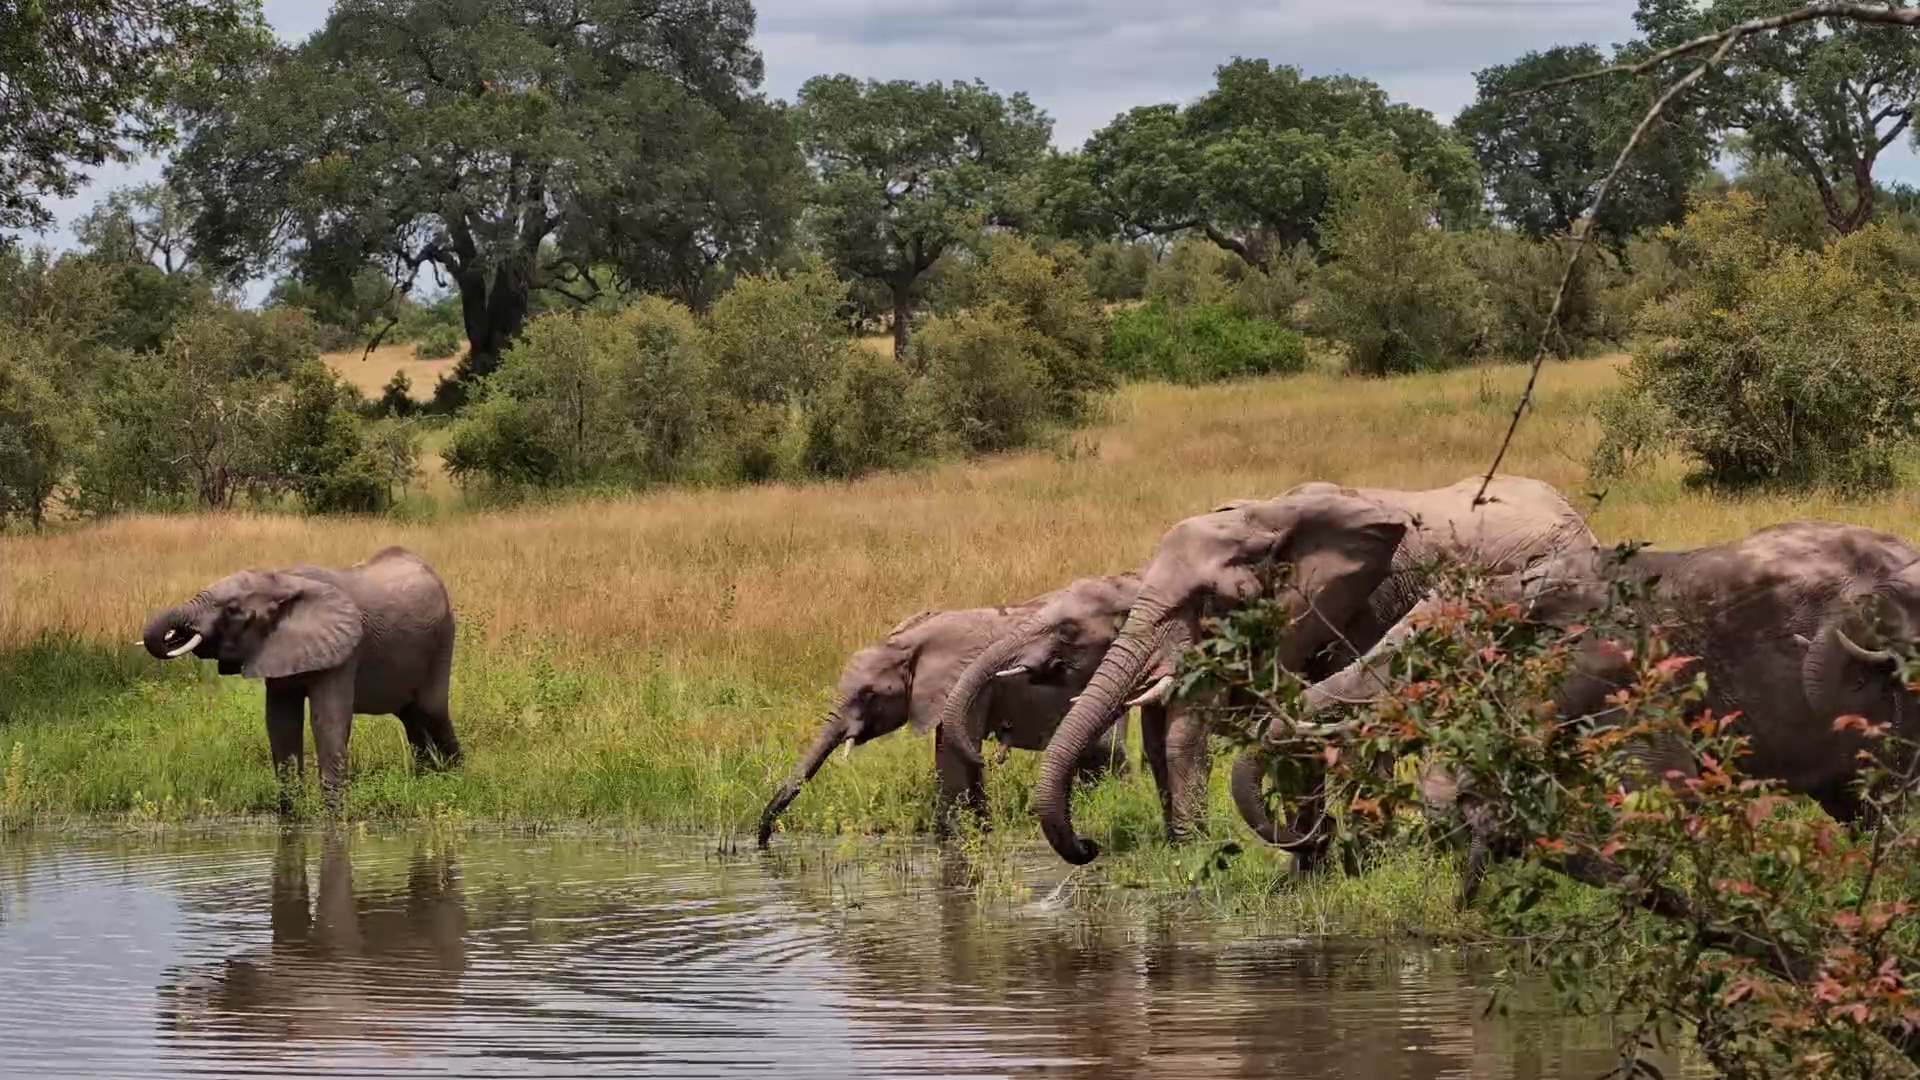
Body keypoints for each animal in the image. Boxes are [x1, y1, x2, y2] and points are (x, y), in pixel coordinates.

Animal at [141, 546, 461, 812]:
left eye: (232, 609)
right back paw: (426, 780)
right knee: (412, 719)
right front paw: (291, 814)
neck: (283, 581)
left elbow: (329, 722)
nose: (177, 633)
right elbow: (280, 723)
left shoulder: (344, 651)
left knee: (433, 711)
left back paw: (455, 778)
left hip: (444, 636)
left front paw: (333, 815)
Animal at [755, 593, 1132, 849]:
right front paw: (979, 828)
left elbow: (951, 756)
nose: (763, 841)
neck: (906, 642)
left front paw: (951, 837)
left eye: (869, 695)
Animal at [1033, 474, 1599, 867]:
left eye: (1208, 601)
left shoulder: (1364, 605)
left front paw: (1346, 861)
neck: (1264, 518)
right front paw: (1308, 859)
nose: (1089, 845)